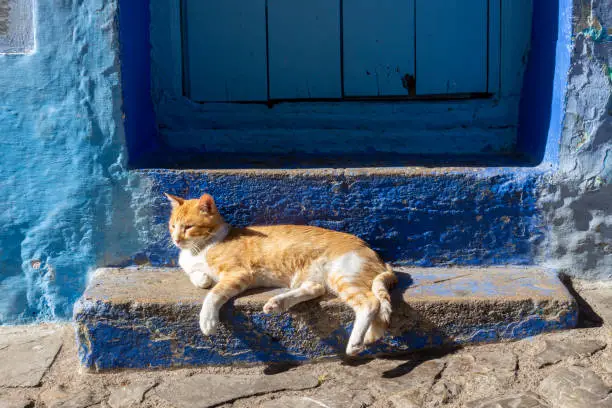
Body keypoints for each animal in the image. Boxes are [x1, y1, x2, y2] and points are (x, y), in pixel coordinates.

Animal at [165, 193, 400, 356]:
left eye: (188, 227)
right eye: (173, 226)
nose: (176, 240)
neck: (200, 248)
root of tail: (378, 257)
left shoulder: (238, 274)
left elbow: (213, 294)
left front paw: (207, 320)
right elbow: (199, 279)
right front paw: (202, 278)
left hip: (343, 275)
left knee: (370, 303)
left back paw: (355, 343)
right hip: (316, 277)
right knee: (315, 289)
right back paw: (277, 303)